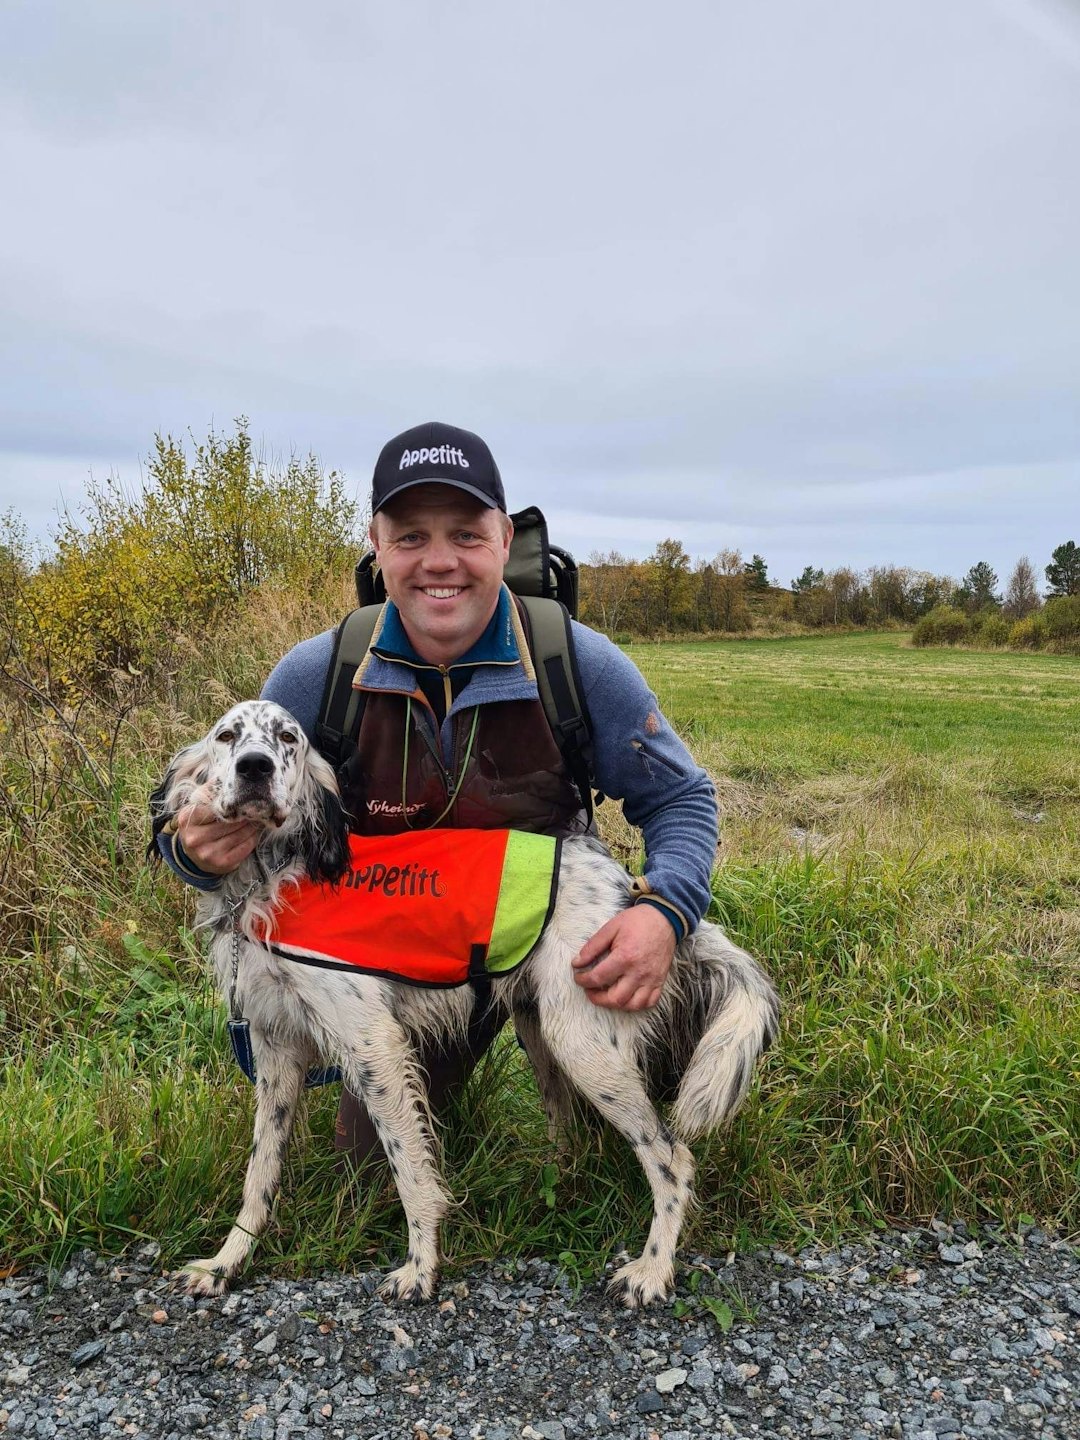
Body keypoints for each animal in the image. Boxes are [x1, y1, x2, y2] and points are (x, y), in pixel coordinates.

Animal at [152, 702, 777, 1313]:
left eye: (287, 738)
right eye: (226, 736)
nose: (254, 767)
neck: (275, 875)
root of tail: (630, 892)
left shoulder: (372, 1047)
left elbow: (410, 1169)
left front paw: (420, 1268)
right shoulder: (275, 1052)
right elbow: (260, 1173)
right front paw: (227, 1263)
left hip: (583, 1042)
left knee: (672, 1159)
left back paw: (651, 1270)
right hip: (541, 1030)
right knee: (569, 1129)